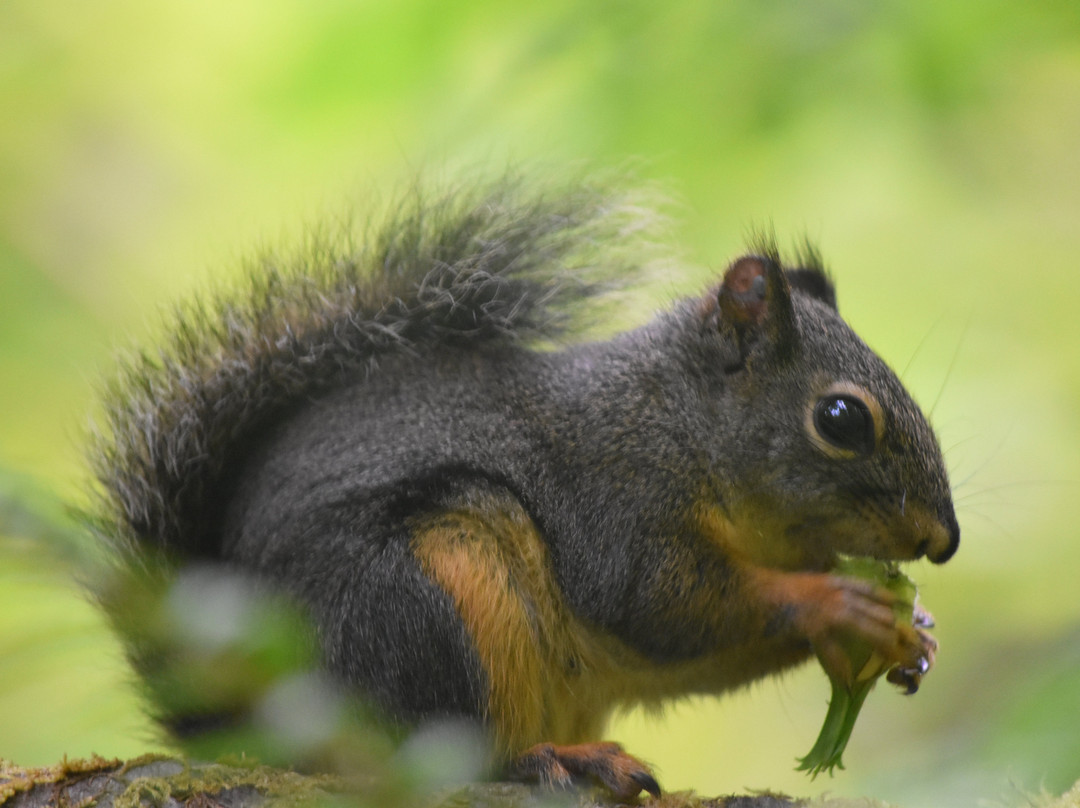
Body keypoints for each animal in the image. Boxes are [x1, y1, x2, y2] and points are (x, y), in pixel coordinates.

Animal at [88, 173, 959, 799]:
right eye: (841, 418)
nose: (943, 541)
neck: (680, 426)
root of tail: (250, 722)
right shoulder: (614, 499)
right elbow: (667, 604)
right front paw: (835, 602)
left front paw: (911, 632)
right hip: (421, 595)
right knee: (423, 751)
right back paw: (554, 761)